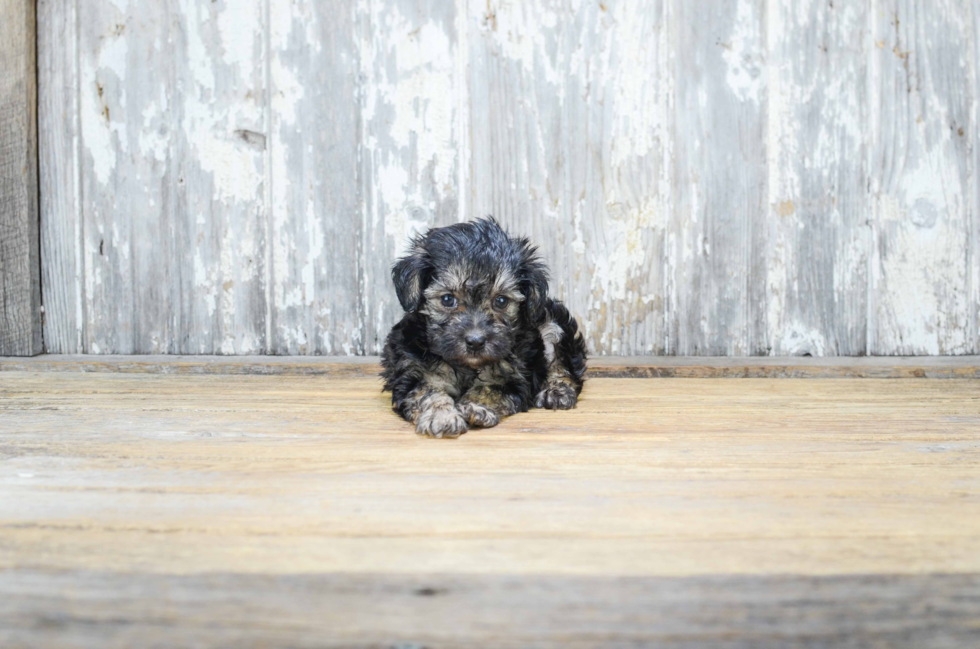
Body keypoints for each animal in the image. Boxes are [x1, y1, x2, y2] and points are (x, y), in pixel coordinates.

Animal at [378, 216, 584, 436]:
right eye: (448, 299)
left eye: (501, 301)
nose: (475, 341)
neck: (466, 366)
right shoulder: (412, 371)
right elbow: (427, 393)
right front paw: (441, 416)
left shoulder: (514, 377)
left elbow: (489, 389)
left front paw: (476, 407)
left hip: (552, 324)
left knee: (562, 363)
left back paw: (557, 391)